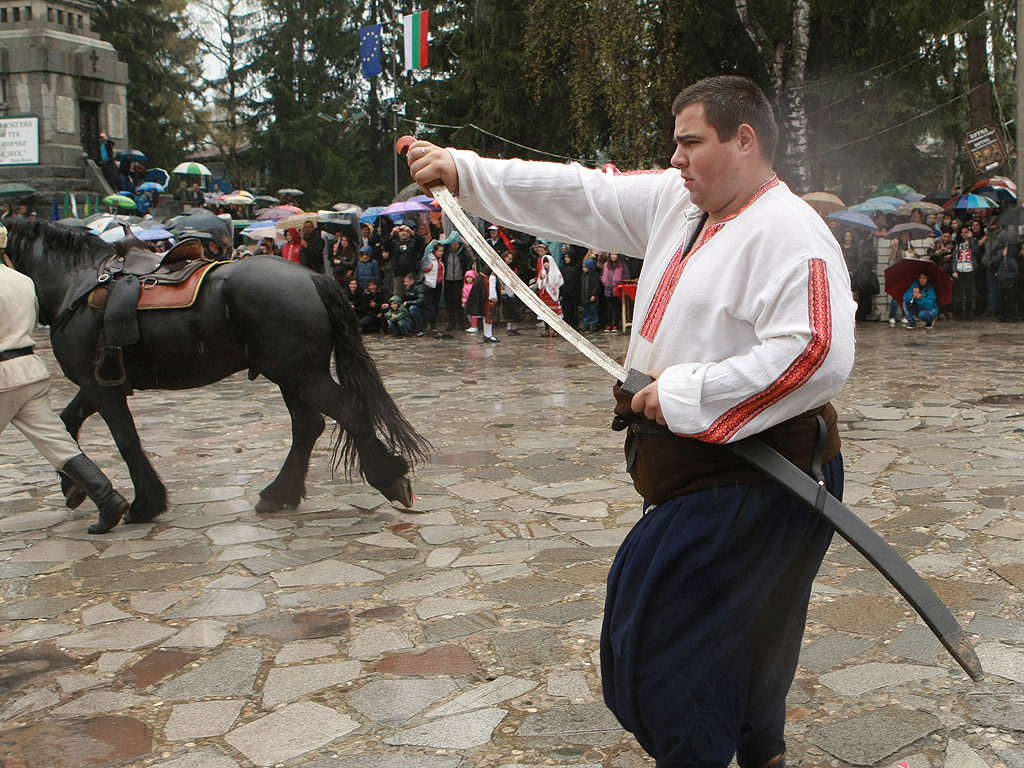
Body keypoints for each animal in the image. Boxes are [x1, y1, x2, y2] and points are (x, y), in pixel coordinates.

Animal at [4, 219, 428, 532]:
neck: (75, 284)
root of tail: (312, 278)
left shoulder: (100, 386)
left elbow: (125, 440)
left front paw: (142, 505)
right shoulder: (97, 383)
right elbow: (66, 423)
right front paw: (73, 486)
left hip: (301, 375)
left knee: (347, 413)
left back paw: (388, 477)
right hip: (293, 376)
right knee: (309, 426)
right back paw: (280, 493)